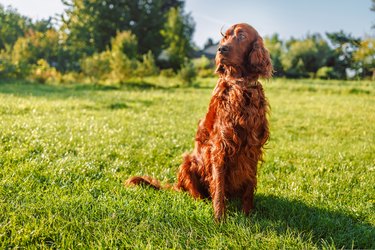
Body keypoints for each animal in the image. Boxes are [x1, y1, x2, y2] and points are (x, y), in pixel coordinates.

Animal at [127, 22, 274, 220]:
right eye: (225, 37)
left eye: (242, 36)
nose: (221, 49)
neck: (240, 86)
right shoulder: (221, 146)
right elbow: (218, 186)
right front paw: (220, 218)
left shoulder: (253, 147)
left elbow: (249, 185)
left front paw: (248, 214)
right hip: (188, 163)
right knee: (196, 194)